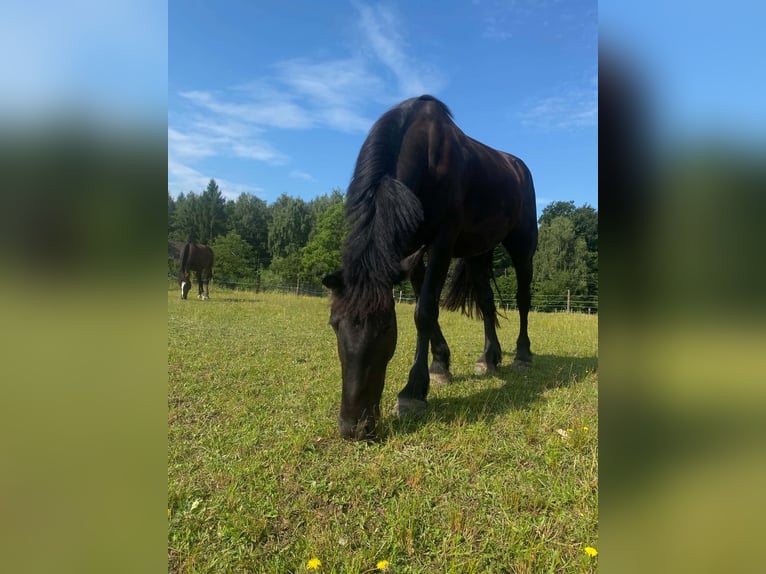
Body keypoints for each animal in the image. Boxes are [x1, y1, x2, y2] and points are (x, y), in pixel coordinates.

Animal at [322, 95, 538, 440]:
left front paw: (413, 391)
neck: (425, 156)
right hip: (478, 253)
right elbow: (425, 308)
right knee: (487, 302)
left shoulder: (442, 242)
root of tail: (517, 166)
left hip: (522, 245)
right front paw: (440, 365)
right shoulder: (410, 250)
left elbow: (424, 311)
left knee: (523, 299)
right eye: (334, 324)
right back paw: (489, 358)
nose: (354, 427)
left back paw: (522, 355)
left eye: (385, 329)